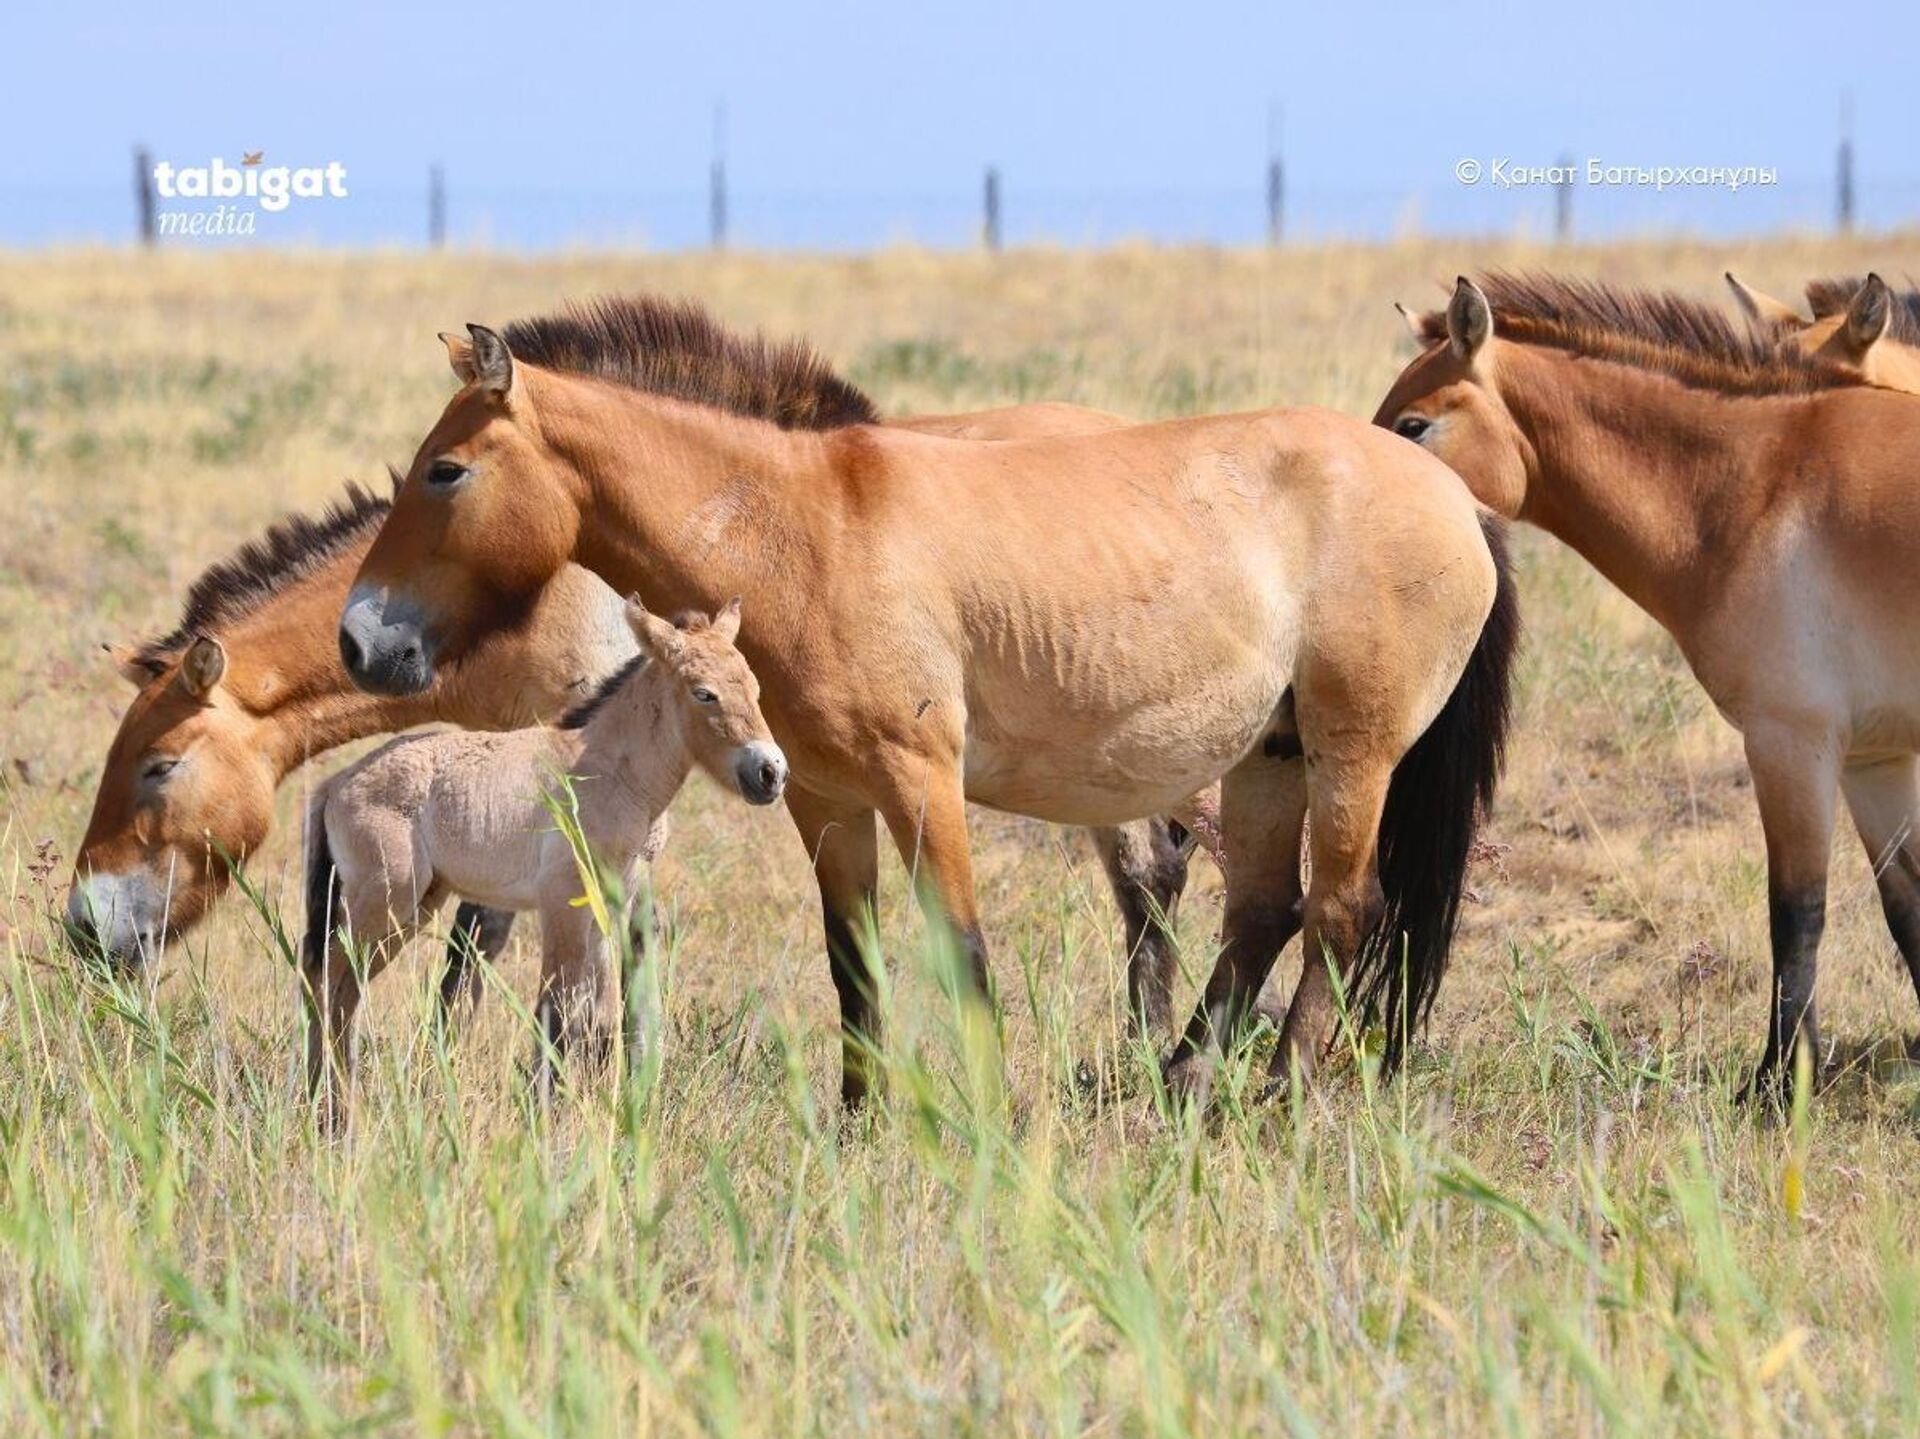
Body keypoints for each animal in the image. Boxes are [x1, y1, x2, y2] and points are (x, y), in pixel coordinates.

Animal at [303, 598, 785, 1108]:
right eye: (704, 694)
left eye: (755, 687)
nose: (770, 773)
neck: (606, 771)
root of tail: (336, 784)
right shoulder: (563, 904)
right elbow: (559, 1013)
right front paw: (547, 1114)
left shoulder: (607, 907)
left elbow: (599, 1016)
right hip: (385, 902)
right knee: (333, 983)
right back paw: (333, 1108)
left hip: (413, 907)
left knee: (332, 985)